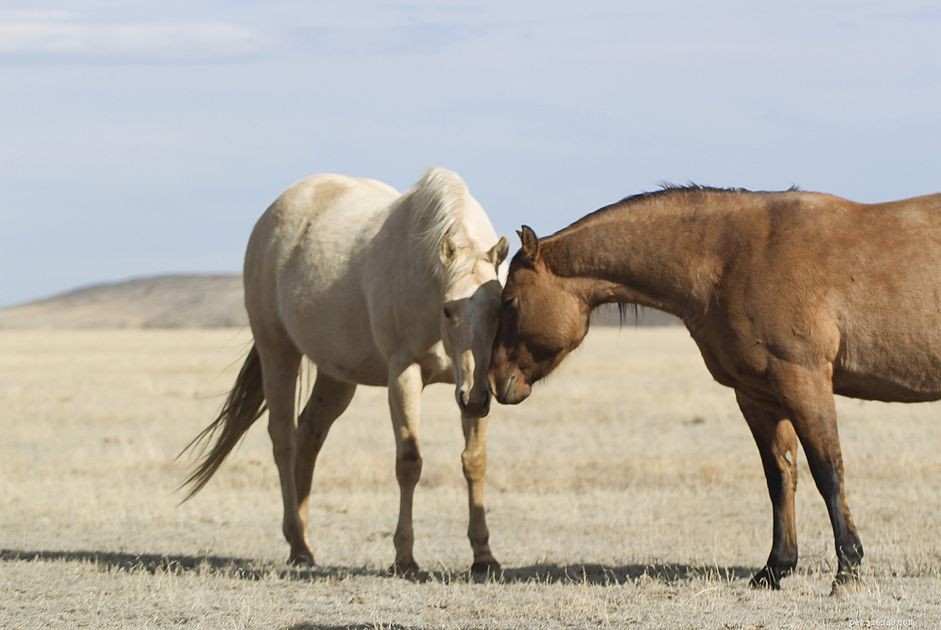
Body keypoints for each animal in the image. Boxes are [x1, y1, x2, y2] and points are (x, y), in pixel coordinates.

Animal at [181, 168, 509, 574]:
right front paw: (404, 557)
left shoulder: (471, 386)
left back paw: (302, 542)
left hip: (336, 376)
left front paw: (483, 555)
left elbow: (474, 462)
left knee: (310, 435)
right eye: (448, 310)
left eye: (499, 307)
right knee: (284, 439)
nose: (475, 398)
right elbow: (409, 461)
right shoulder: (404, 374)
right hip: (278, 353)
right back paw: (298, 542)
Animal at [487, 185, 941, 593]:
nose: (495, 381)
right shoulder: (758, 396)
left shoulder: (803, 380)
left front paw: (847, 571)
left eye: (509, 301)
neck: (732, 257)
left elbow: (828, 472)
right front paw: (775, 569)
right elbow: (780, 477)